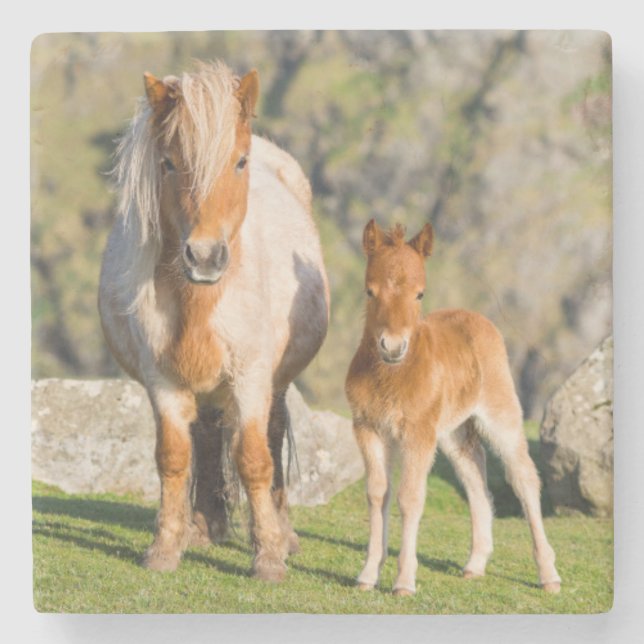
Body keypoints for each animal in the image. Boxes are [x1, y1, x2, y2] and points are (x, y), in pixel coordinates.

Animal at [98, 61, 329, 582]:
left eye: (239, 162)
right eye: (167, 164)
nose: (204, 257)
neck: (201, 299)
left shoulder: (251, 376)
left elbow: (254, 459)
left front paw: (268, 558)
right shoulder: (162, 380)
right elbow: (173, 457)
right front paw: (165, 548)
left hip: (274, 381)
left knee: (273, 436)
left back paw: (283, 534)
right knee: (204, 436)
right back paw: (205, 528)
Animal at [345, 220, 561, 596]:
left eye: (419, 294)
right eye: (369, 291)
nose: (392, 347)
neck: (392, 377)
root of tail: (476, 318)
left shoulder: (418, 434)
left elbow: (410, 498)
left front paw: (404, 581)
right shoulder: (368, 428)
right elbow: (377, 494)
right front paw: (368, 575)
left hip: (500, 415)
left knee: (523, 478)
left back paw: (548, 574)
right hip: (453, 432)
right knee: (475, 477)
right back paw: (475, 564)